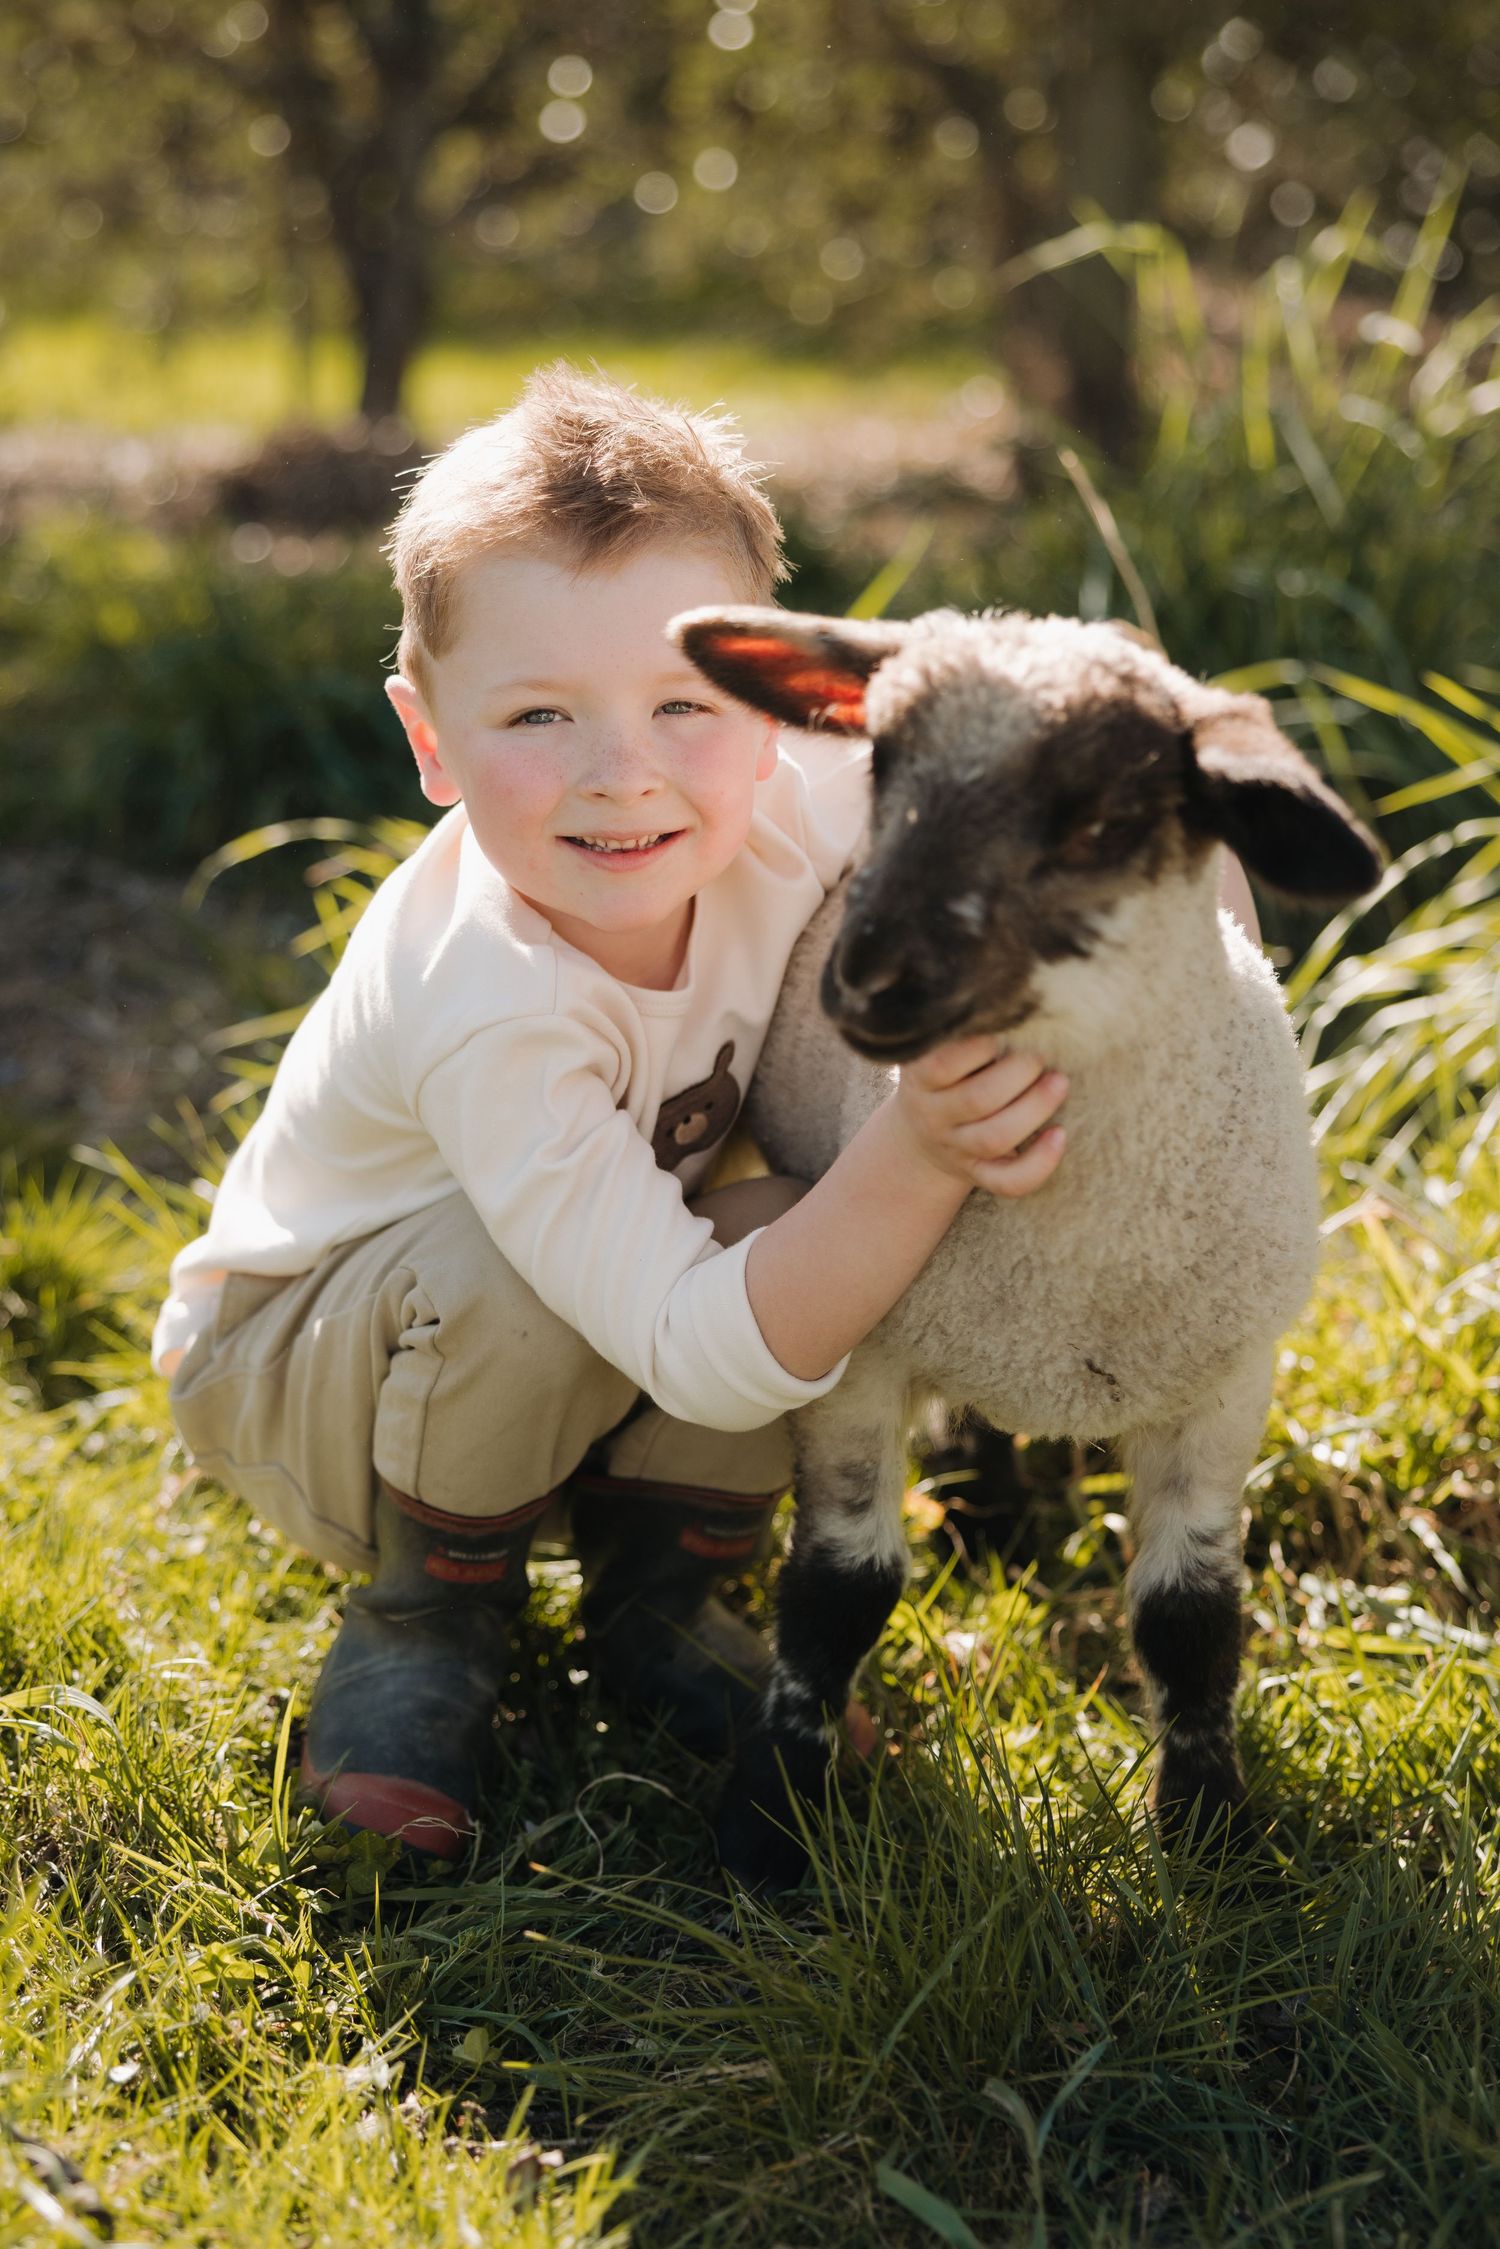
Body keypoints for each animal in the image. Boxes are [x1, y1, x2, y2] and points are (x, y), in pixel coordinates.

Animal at [673, 604, 1382, 1890]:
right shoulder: (858, 1356)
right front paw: (770, 1821)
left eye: (1102, 817)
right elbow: (838, 1589)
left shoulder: (1226, 1381)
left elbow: (1190, 1614)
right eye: (882, 763)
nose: (870, 978)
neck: (1078, 1259)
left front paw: (1212, 1840)